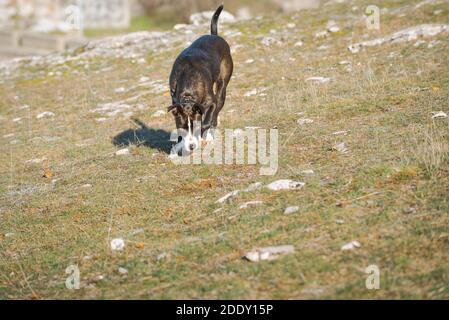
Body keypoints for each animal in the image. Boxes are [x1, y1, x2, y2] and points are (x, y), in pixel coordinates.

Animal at [166, 4, 233, 155]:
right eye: (183, 128)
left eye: (195, 127)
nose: (191, 146)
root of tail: (214, 35)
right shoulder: (175, 102)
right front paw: (179, 145)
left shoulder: (211, 102)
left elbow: (206, 121)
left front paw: (203, 137)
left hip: (222, 86)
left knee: (216, 112)